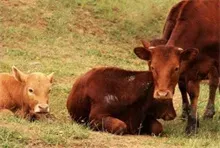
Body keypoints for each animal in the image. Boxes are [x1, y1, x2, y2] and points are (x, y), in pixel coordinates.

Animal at [134, 0, 218, 134]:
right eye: (152, 67)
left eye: (176, 68)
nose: (161, 94)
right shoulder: (192, 68)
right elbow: (190, 90)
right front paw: (191, 121)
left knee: (214, 83)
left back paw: (209, 112)